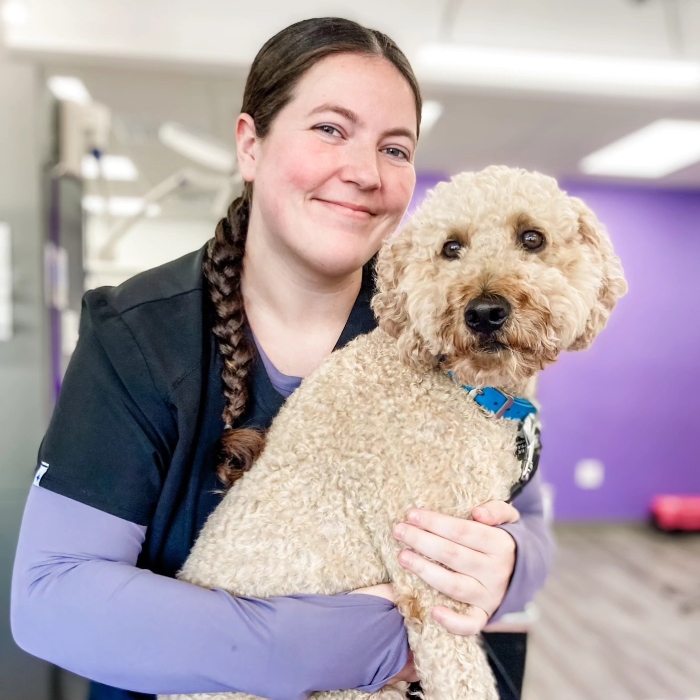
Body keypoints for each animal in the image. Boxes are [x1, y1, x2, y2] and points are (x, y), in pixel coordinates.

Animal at [163, 165, 624, 700]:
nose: (484, 311)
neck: (462, 387)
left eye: (533, 238)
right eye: (451, 247)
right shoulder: (434, 581)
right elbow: (463, 680)